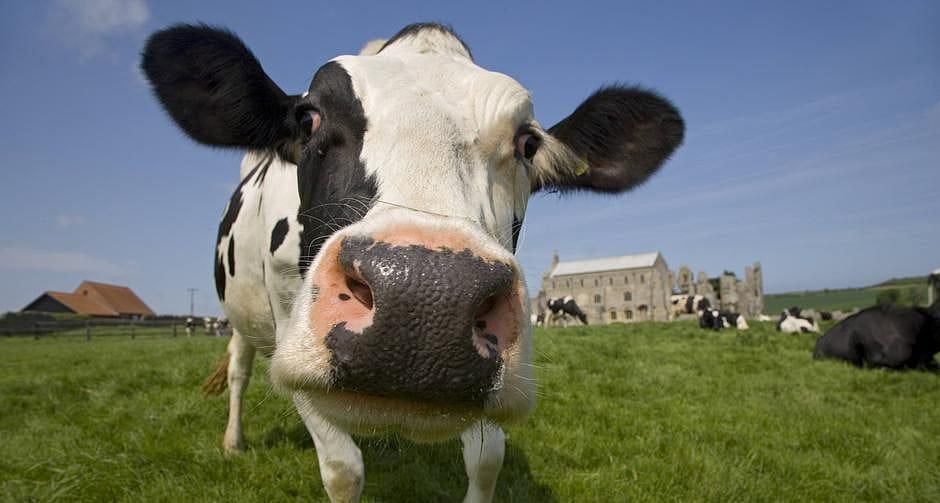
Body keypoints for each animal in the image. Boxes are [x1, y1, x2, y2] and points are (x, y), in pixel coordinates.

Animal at [141, 22, 683, 502]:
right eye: (308, 119)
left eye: (528, 143)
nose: (424, 299)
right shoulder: (290, 341)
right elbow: (343, 470)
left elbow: (487, 461)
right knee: (238, 372)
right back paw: (233, 442)